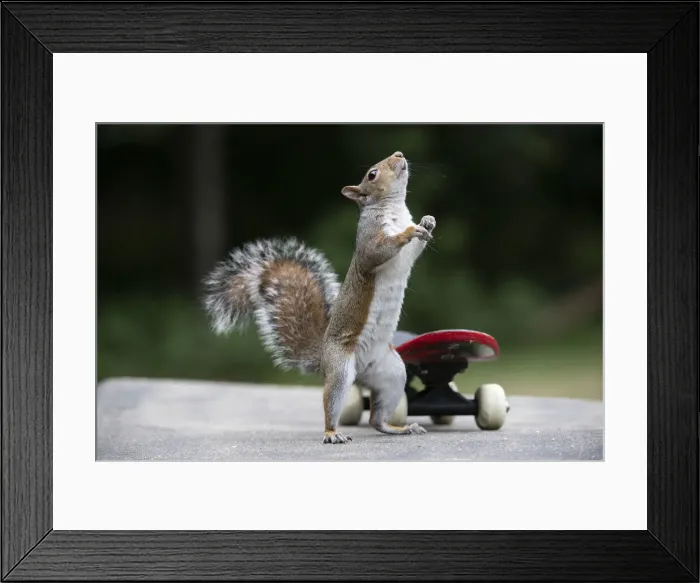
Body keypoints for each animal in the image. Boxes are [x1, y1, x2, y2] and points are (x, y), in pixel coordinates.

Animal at [202, 151, 436, 444]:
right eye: (372, 174)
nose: (399, 154)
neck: (394, 209)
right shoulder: (369, 241)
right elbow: (379, 250)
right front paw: (408, 232)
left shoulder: (407, 253)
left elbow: (415, 249)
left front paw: (427, 222)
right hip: (340, 371)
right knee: (332, 404)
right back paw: (333, 433)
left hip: (392, 373)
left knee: (376, 419)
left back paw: (399, 428)